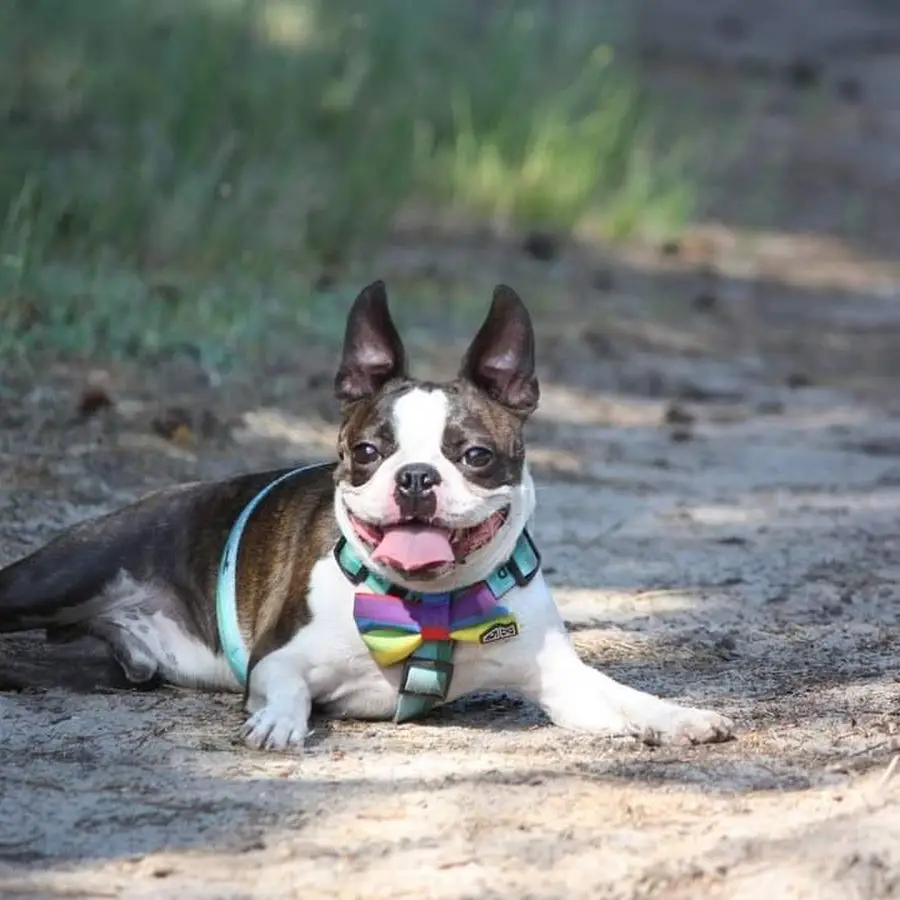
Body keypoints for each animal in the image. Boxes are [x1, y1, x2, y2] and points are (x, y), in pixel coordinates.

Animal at [0, 282, 732, 752]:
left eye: (475, 455)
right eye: (367, 453)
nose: (415, 477)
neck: (426, 605)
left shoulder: (561, 682)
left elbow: (626, 697)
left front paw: (678, 717)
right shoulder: (277, 657)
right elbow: (287, 690)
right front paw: (279, 723)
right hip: (60, 576)